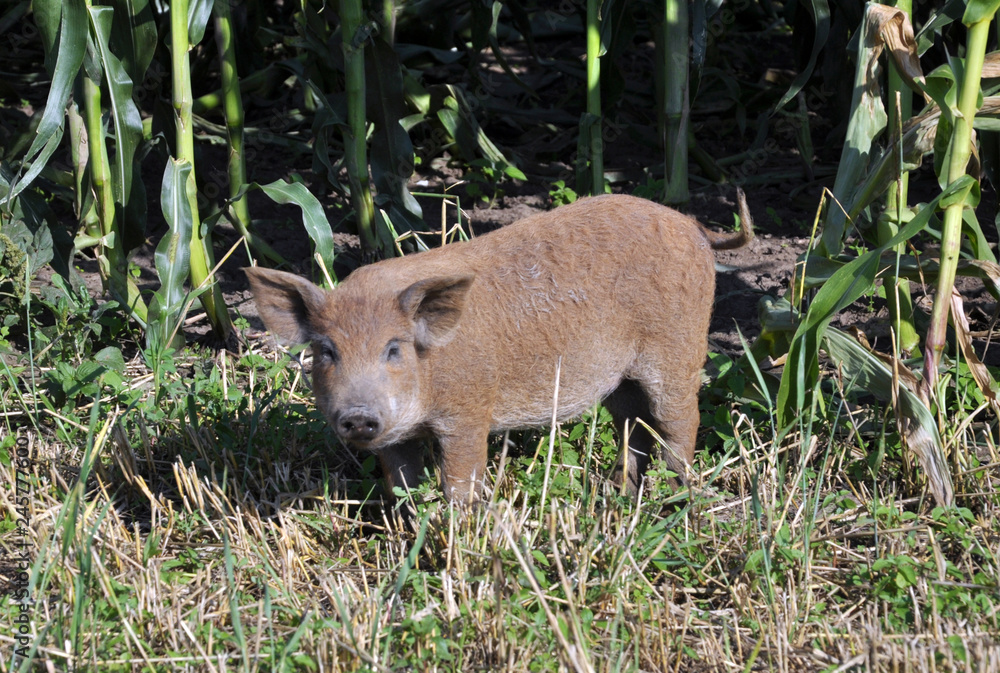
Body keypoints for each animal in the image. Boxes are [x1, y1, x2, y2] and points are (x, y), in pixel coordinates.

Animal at [245, 191, 752, 502]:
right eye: (326, 351)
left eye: (394, 349)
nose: (357, 415)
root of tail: (694, 226)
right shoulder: (396, 439)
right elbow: (401, 484)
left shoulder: (470, 411)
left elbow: (460, 481)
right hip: (620, 379)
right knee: (634, 426)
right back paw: (616, 494)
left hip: (677, 350)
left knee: (681, 421)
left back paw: (674, 493)